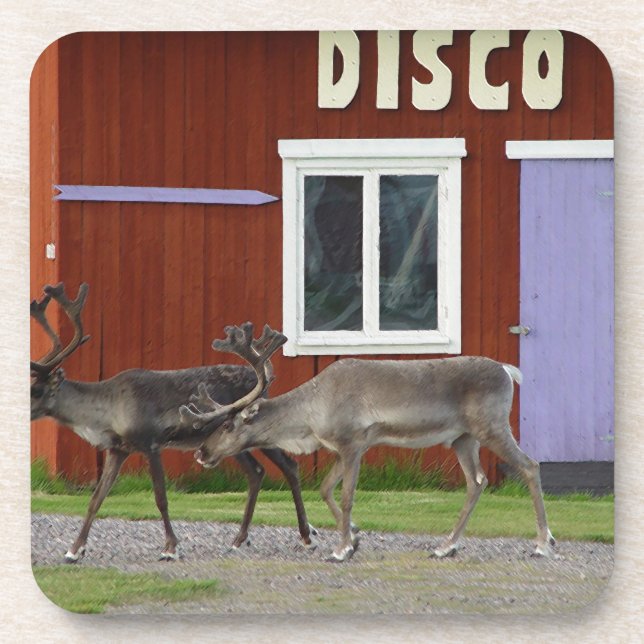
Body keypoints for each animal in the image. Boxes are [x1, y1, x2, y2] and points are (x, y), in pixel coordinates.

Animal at [30, 283, 316, 563]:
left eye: (36, 390)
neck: (107, 413)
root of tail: (263, 381)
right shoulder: (118, 449)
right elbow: (96, 498)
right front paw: (73, 550)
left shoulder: (151, 443)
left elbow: (161, 498)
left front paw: (170, 548)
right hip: (229, 441)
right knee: (256, 472)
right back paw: (239, 539)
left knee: (289, 466)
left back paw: (306, 536)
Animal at [182, 323, 556, 563]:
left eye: (228, 424)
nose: (201, 452)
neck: (310, 418)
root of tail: (508, 371)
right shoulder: (341, 447)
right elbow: (325, 489)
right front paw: (355, 537)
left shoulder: (353, 442)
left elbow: (347, 495)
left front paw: (341, 550)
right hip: (463, 438)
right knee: (476, 481)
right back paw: (445, 546)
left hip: (491, 426)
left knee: (529, 466)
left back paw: (543, 543)